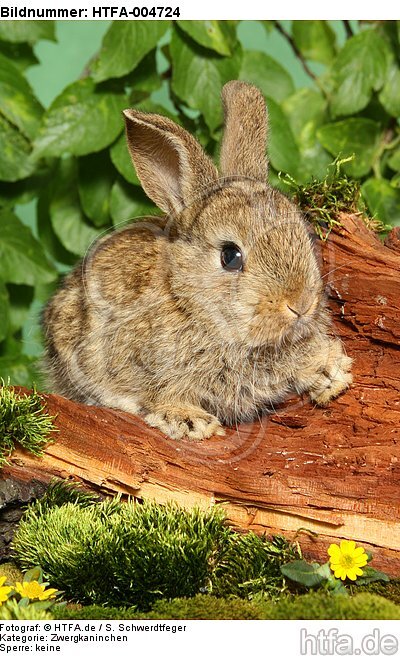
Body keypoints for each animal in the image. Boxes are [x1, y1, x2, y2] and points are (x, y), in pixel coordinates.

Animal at [42, 80, 352, 441]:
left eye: (304, 234)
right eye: (230, 256)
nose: (300, 304)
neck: (190, 301)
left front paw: (332, 370)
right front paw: (188, 421)